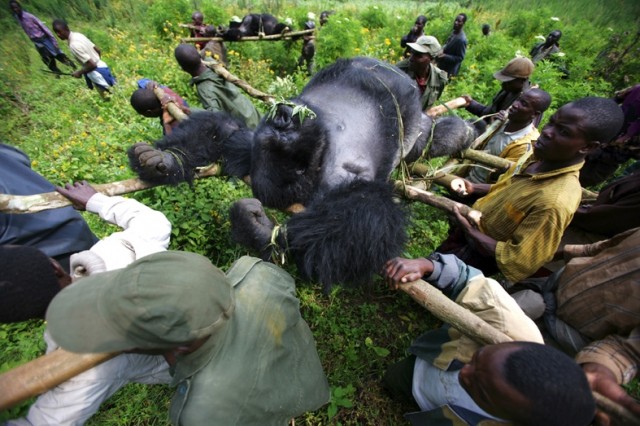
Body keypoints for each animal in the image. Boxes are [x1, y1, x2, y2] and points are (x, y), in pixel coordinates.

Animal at [129, 56, 476, 290]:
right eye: (286, 153)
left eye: (283, 136)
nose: (283, 117)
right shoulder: (324, 175)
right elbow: (361, 218)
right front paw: (260, 230)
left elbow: (226, 132)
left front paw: (164, 159)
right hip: (413, 135)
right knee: (435, 137)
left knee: (440, 132)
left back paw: (470, 132)